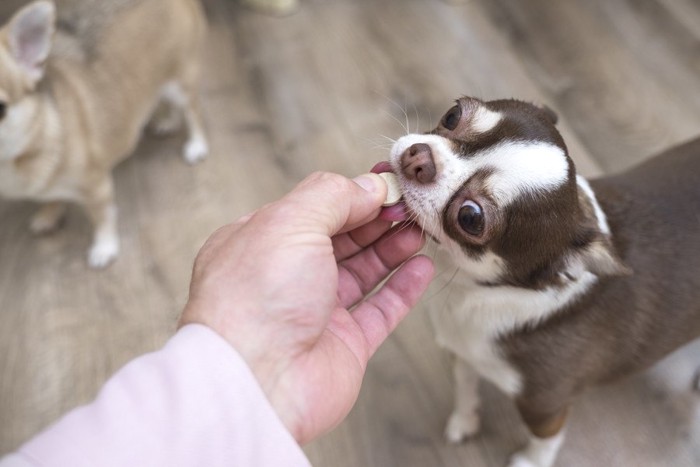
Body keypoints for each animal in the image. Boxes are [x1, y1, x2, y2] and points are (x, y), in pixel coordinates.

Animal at [0, 0, 208, 268]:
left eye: (0, 109)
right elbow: (51, 197)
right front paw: (48, 214)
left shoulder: (97, 187)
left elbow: (102, 218)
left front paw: (104, 247)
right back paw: (168, 122)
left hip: (180, 82)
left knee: (193, 112)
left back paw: (197, 145)